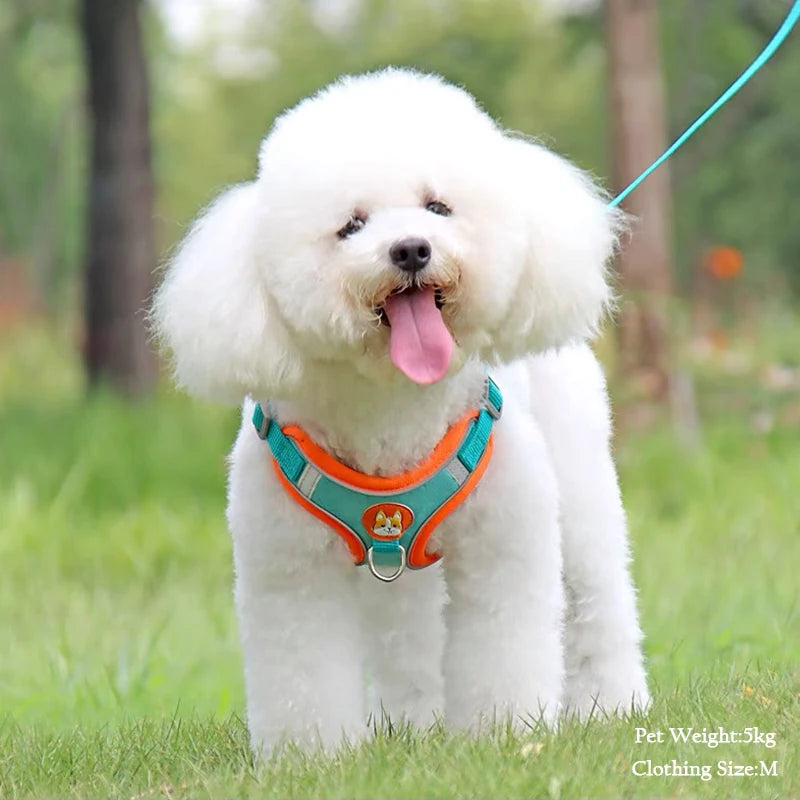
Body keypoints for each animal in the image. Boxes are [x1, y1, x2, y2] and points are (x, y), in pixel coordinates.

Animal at [152, 69, 648, 756]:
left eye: (438, 207)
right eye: (351, 226)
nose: (411, 249)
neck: (391, 407)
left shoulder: (504, 541)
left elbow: (505, 650)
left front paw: (504, 737)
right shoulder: (290, 569)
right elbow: (303, 674)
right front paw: (314, 758)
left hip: (579, 487)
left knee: (599, 600)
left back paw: (614, 706)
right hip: (399, 574)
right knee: (408, 640)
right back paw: (415, 726)